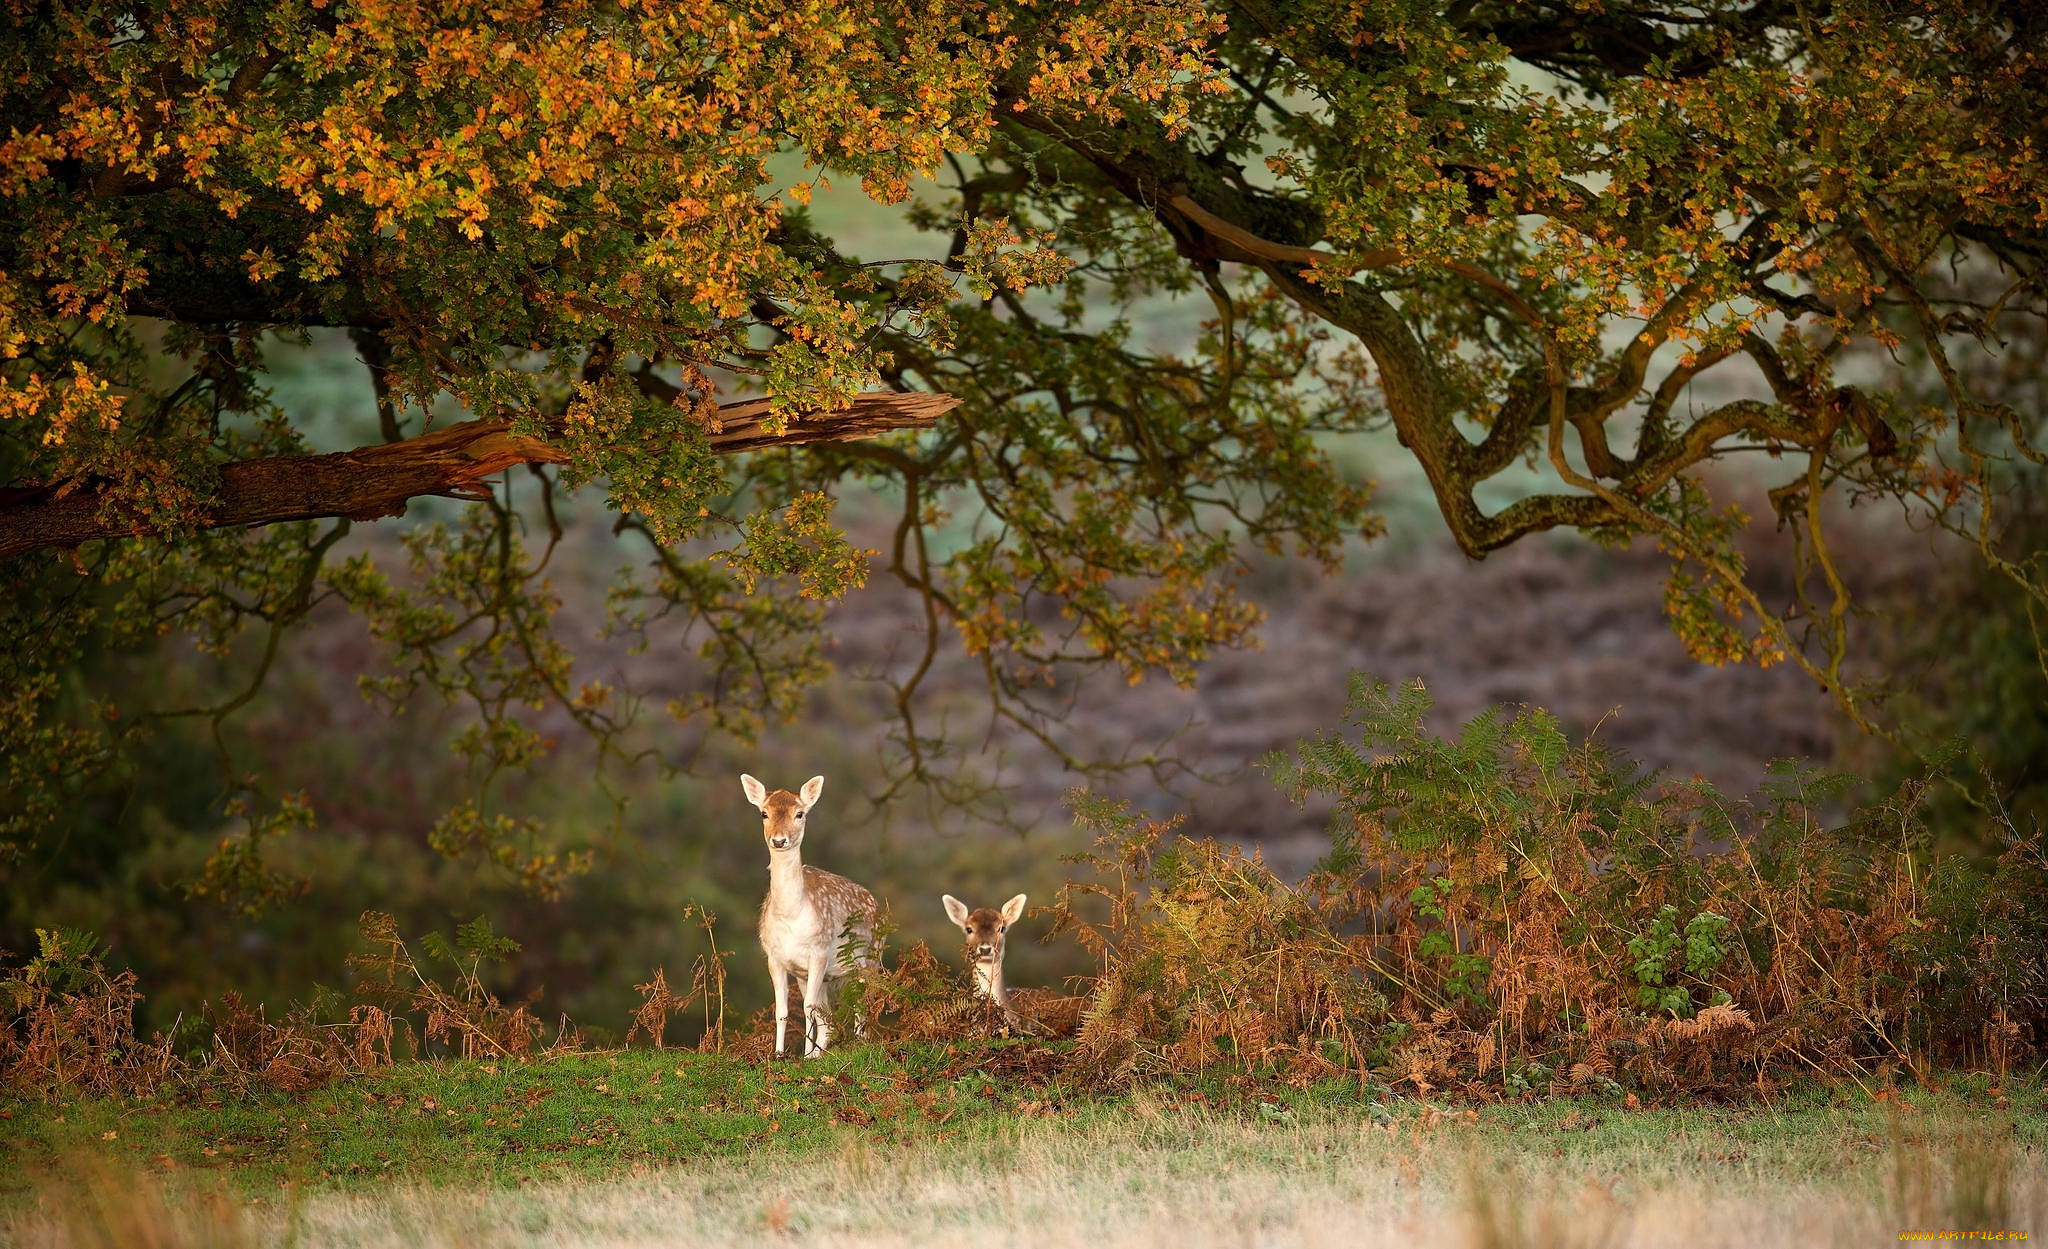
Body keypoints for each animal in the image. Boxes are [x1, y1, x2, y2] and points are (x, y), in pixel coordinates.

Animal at [744, 773, 878, 1057]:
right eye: (764, 813)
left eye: (800, 813)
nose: (779, 840)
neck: (791, 916)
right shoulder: (777, 958)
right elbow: (783, 1010)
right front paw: (779, 1054)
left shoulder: (818, 952)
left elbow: (807, 1008)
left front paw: (804, 1055)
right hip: (819, 976)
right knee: (828, 1017)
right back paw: (819, 1053)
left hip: (871, 957)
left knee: (864, 1003)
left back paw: (859, 1044)